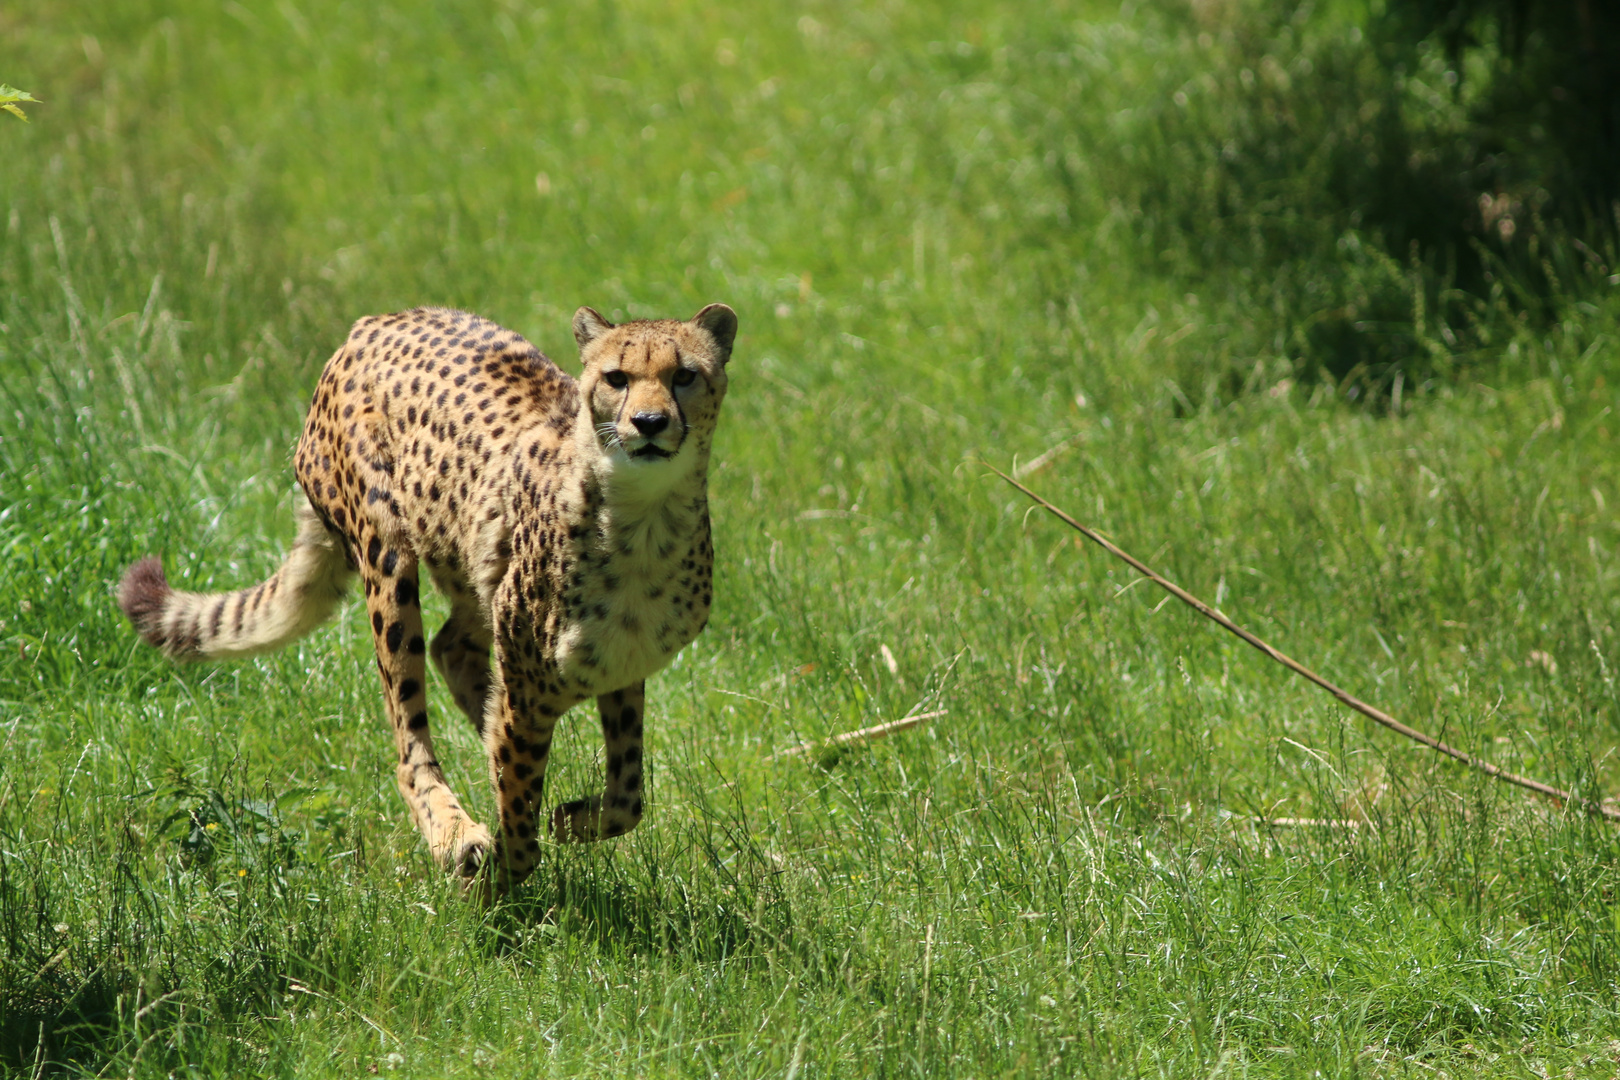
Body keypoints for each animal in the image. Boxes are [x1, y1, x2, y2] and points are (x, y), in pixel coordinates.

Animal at [119, 304, 741, 893]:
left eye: (684, 375)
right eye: (617, 377)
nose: (649, 422)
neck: (643, 518)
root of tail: (372, 324)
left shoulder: (619, 667)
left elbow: (628, 795)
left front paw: (569, 821)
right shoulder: (527, 678)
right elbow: (519, 806)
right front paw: (496, 893)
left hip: (468, 566)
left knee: (452, 647)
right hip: (386, 553)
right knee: (409, 730)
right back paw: (454, 831)